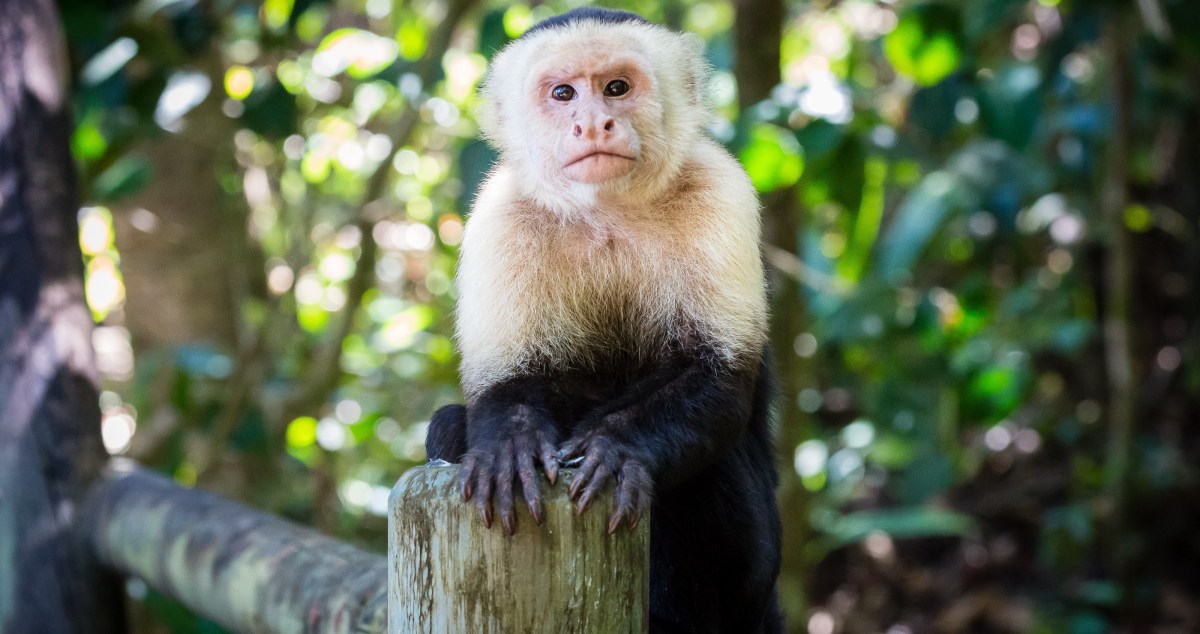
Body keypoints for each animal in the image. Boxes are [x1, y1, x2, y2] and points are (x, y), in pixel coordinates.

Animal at [424, 8, 782, 633]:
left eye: (616, 87)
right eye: (563, 94)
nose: (593, 123)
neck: (608, 210)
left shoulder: (720, 191)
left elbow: (715, 378)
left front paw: (614, 448)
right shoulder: (499, 215)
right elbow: (508, 384)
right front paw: (511, 446)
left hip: (757, 574)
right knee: (448, 427)